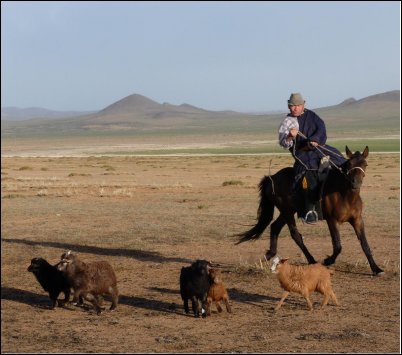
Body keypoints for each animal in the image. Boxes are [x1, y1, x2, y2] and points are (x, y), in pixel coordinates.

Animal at [236, 146, 384, 276]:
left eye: (365, 164)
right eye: (349, 164)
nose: (355, 183)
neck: (345, 195)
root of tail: (271, 177)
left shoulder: (357, 220)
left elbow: (365, 245)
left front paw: (376, 269)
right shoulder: (332, 221)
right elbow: (337, 245)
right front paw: (328, 261)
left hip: (288, 211)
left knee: (275, 227)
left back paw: (269, 255)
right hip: (287, 211)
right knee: (295, 235)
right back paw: (311, 260)